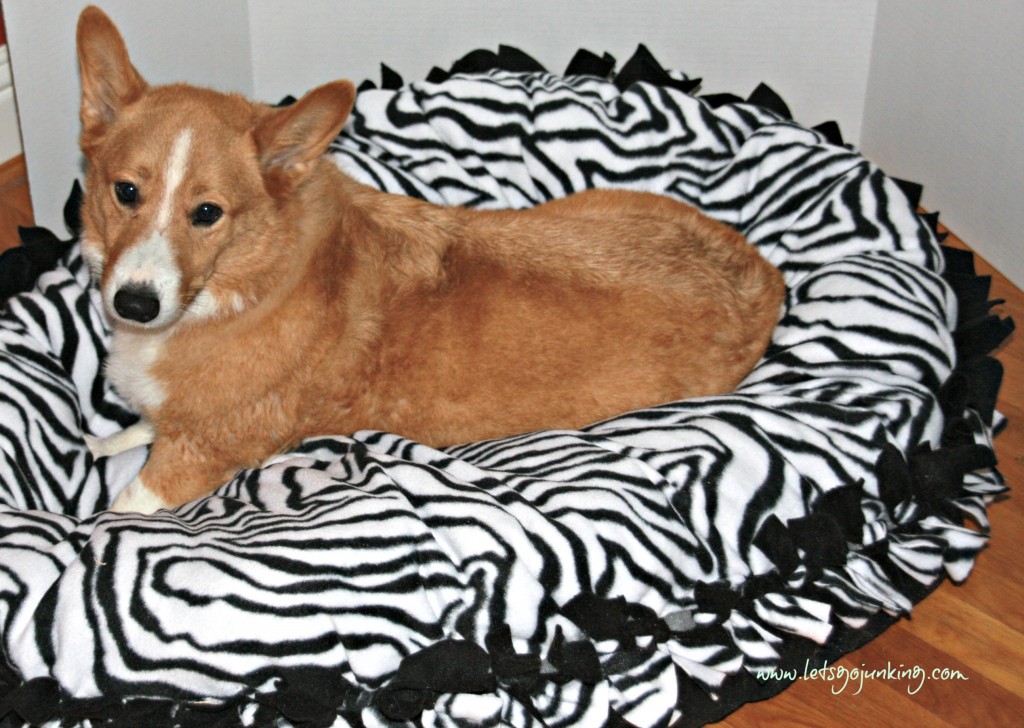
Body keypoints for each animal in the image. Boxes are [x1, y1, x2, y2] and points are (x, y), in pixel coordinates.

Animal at [79, 7, 782, 518]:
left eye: (207, 213)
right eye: (126, 192)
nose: (133, 303)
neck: (242, 283)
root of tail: (764, 279)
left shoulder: (202, 452)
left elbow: (121, 508)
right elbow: (140, 426)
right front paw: (104, 439)